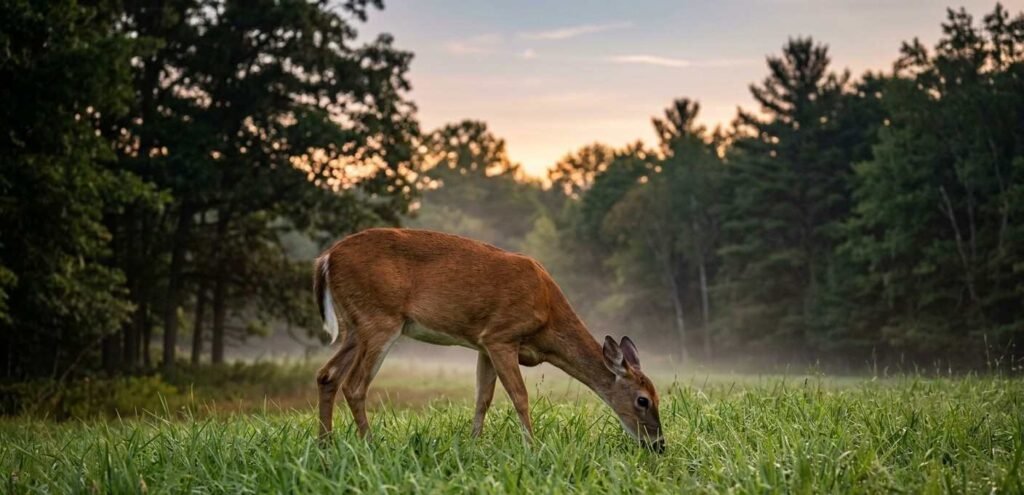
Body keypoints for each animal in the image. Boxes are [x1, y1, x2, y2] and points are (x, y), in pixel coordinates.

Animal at [313, 228, 664, 452]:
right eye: (643, 400)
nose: (659, 445)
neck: (547, 318)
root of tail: (326, 258)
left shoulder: (483, 344)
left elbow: (482, 397)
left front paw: (473, 445)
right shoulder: (501, 336)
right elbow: (520, 396)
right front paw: (532, 448)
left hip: (354, 325)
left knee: (327, 375)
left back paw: (325, 445)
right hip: (380, 317)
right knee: (354, 384)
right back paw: (370, 445)